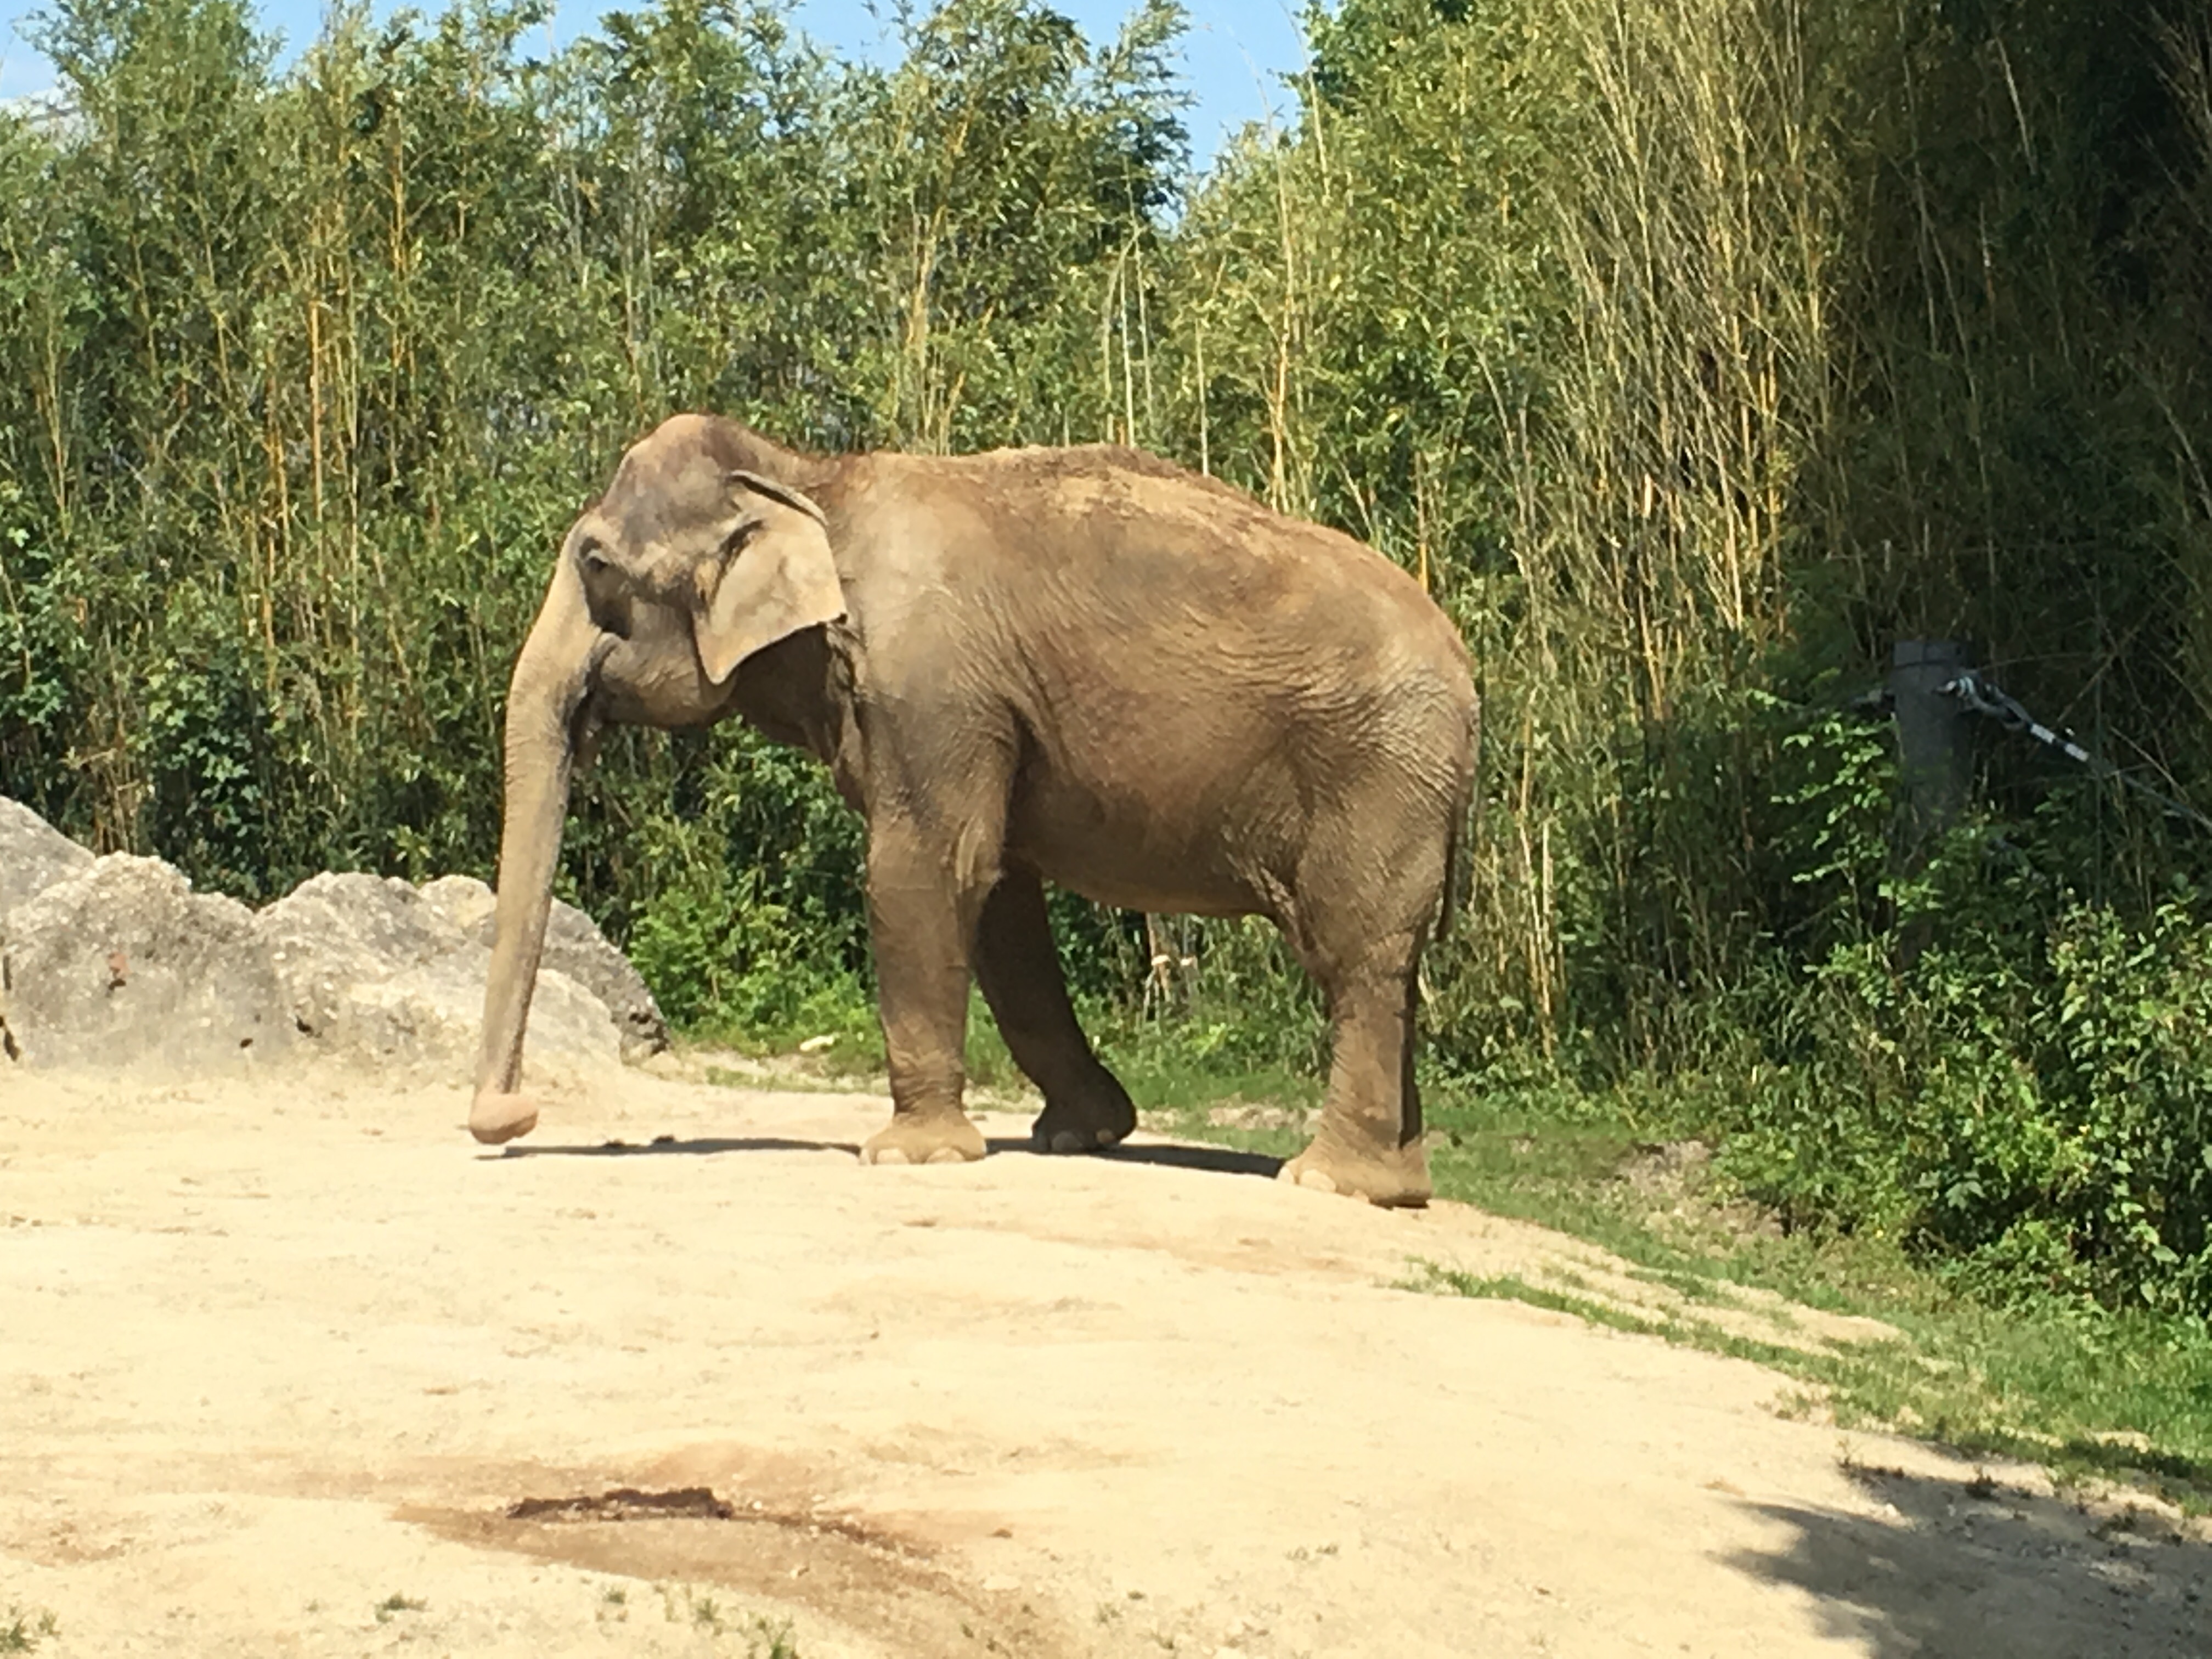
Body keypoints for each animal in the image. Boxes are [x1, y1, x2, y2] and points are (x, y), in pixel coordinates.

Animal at [471, 413, 1477, 1206]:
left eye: (597, 565)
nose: (509, 1120)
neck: (805, 475)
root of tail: (1472, 677)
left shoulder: (930, 687)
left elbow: (925, 867)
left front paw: (906, 1157)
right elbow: (1000, 898)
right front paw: (1079, 1135)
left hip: (1379, 771)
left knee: (1355, 953)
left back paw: (1329, 1181)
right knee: (1390, 964)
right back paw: (1396, 1183)